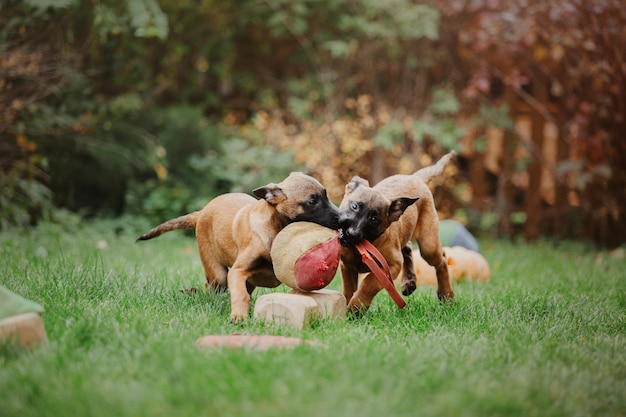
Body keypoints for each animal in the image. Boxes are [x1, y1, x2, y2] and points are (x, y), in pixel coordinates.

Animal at [137, 171, 338, 320]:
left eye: (326, 195)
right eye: (312, 201)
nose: (342, 218)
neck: (274, 227)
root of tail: (202, 211)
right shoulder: (237, 271)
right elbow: (240, 295)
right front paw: (238, 317)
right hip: (219, 275)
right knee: (211, 284)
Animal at [336, 151, 454, 314]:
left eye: (374, 219)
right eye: (354, 206)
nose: (351, 234)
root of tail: (415, 177)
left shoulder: (392, 266)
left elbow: (369, 283)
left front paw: (356, 307)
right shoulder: (347, 265)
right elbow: (348, 288)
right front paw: (349, 307)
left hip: (428, 245)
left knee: (441, 259)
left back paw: (446, 294)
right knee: (408, 247)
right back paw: (409, 282)